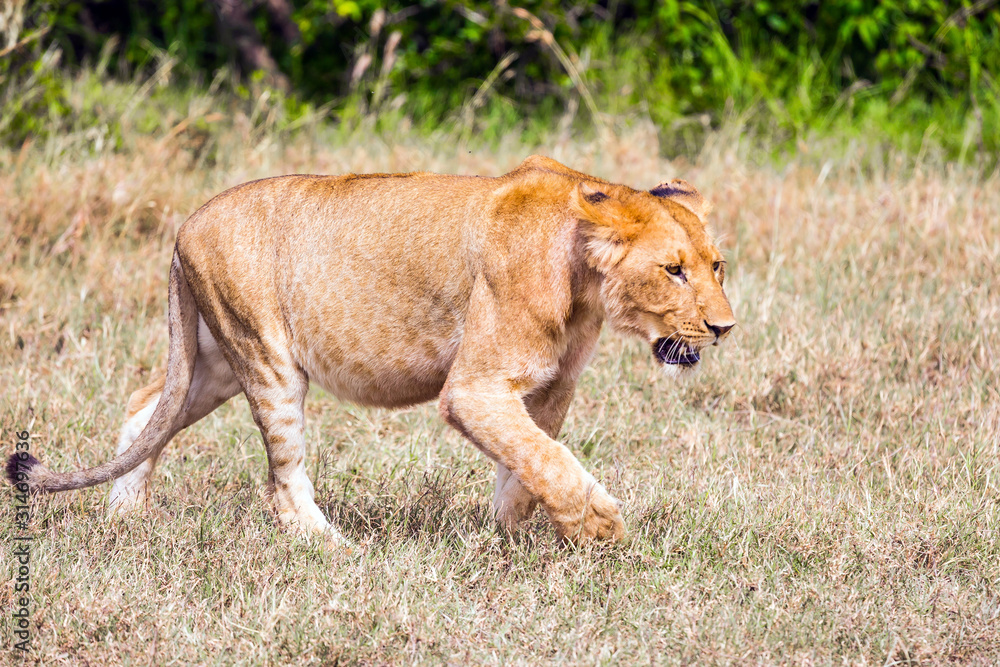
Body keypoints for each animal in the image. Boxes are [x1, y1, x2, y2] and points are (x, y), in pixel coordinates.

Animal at [6, 155, 734, 545]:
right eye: (673, 270)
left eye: (716, 266)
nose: (725, 327)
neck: (583, 279)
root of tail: (186, 225)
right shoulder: (473, 387)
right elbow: (545, 459)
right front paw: (599, 528)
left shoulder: (547, 387)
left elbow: (527, 464)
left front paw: (502, 536)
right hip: (267, 358)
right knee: (282, 480)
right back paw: (335, 548)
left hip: (214, 363)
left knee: (146, 407)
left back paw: (125, 516)